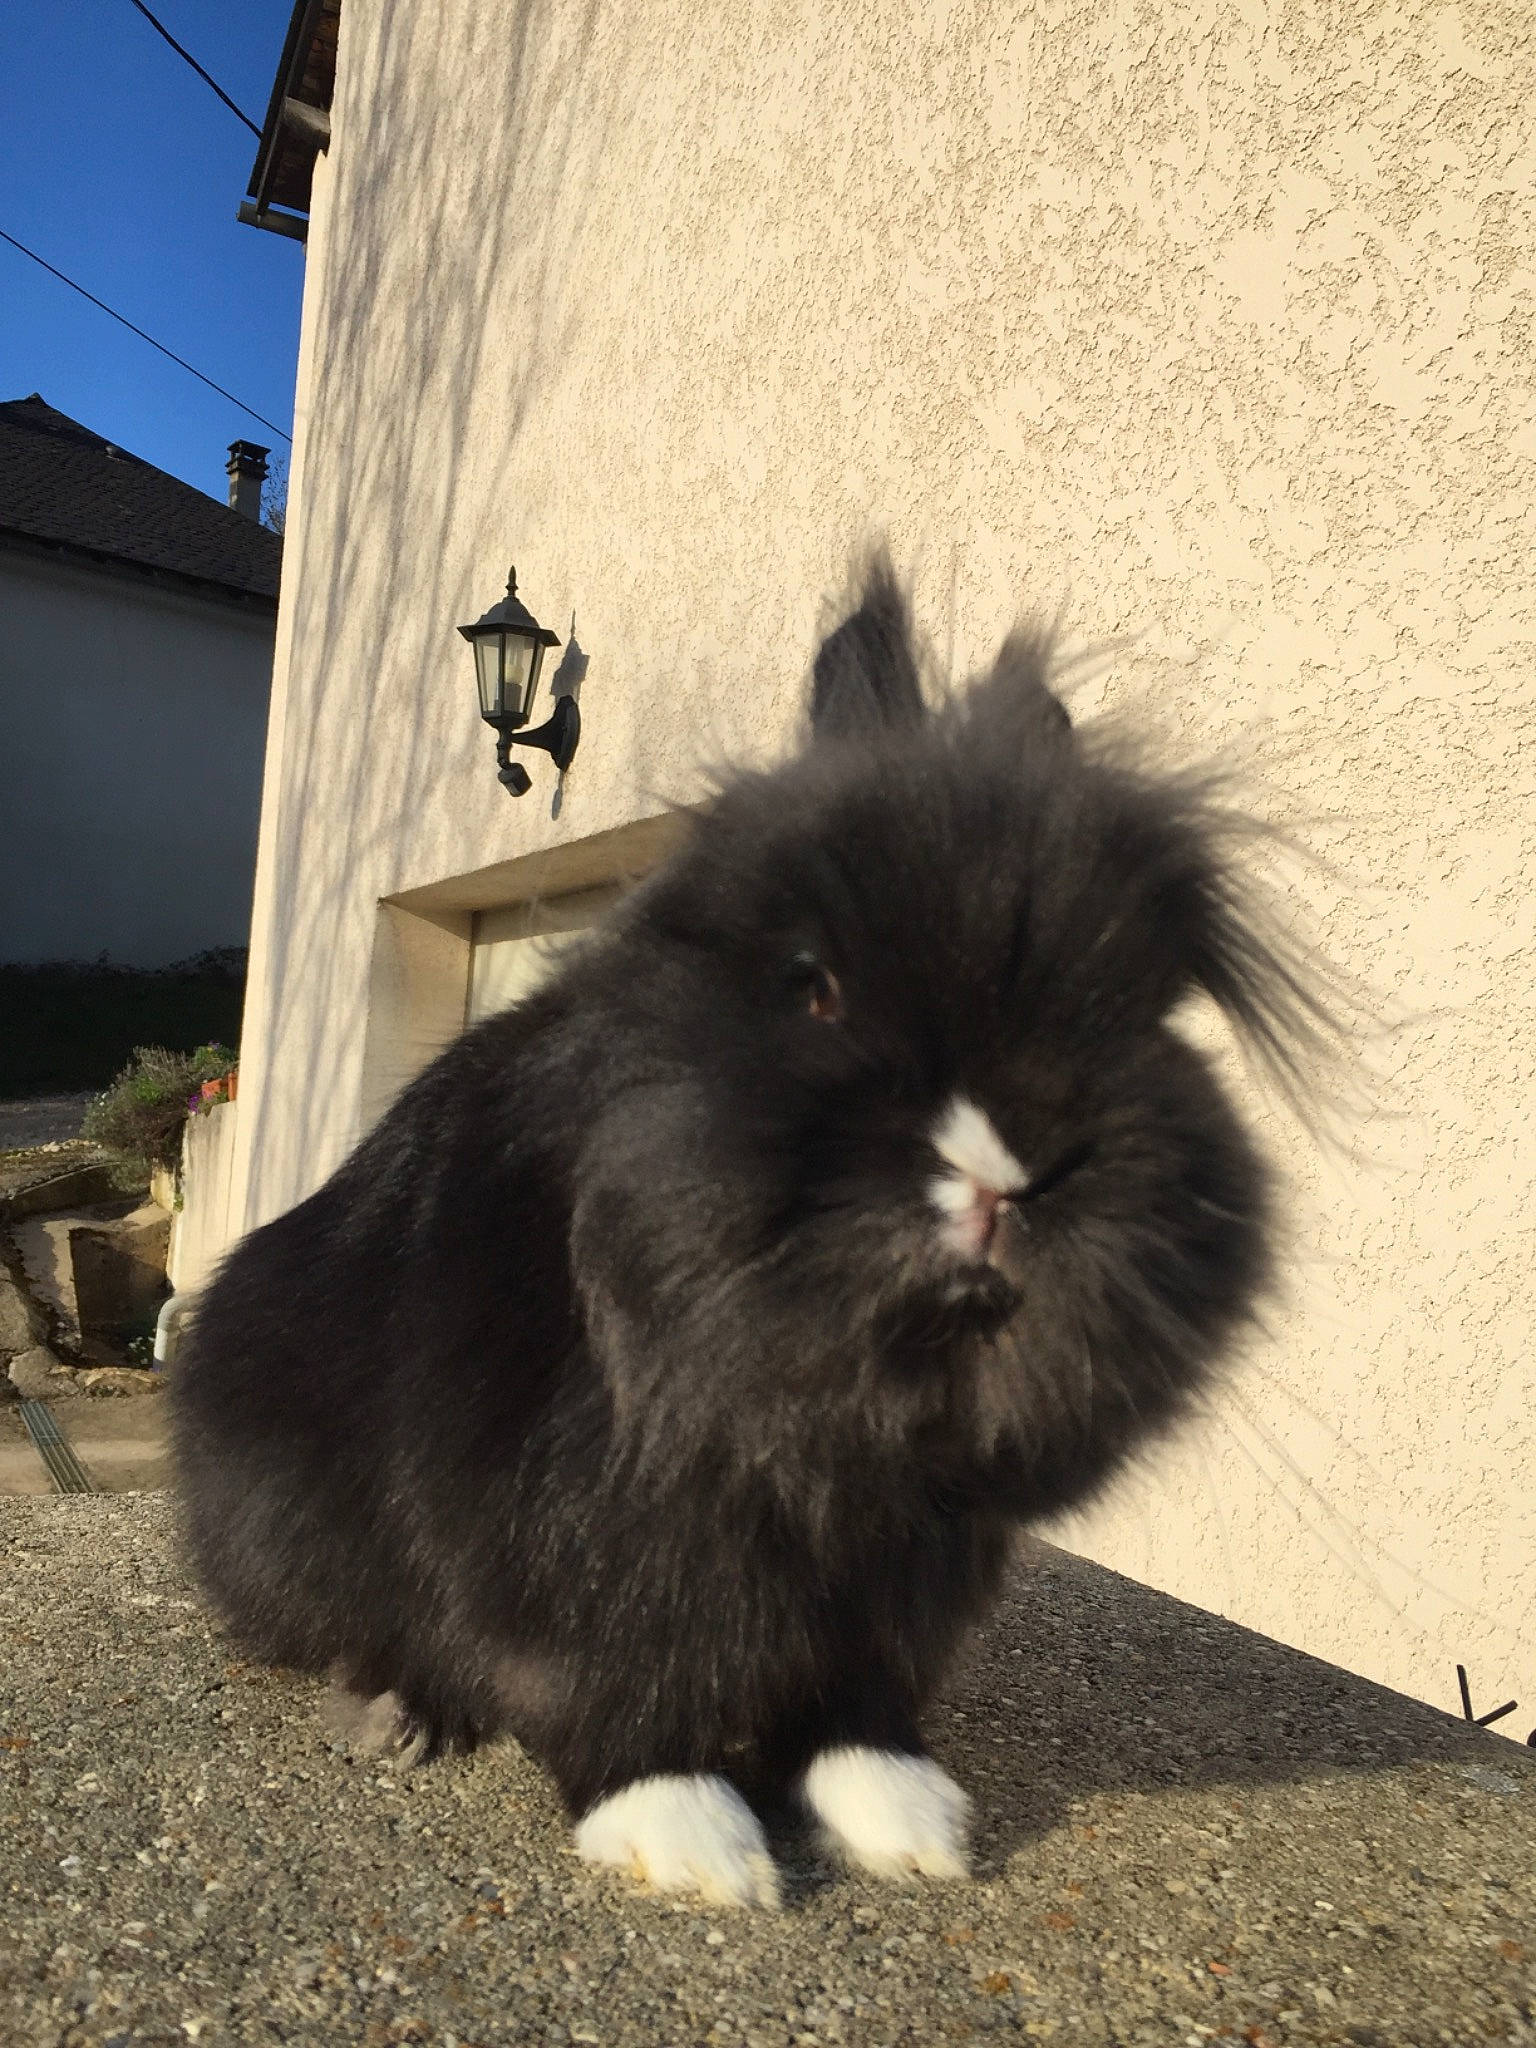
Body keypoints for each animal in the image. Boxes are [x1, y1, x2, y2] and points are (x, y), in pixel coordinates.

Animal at [172, 558, 1329, 1909]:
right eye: (810, 986)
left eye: (1139, 1007)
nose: (1004, 1172)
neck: (839, 1404)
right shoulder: (558, 1523)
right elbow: (598, 1672)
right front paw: (692, 1837)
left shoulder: (896, 1575)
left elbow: (858, 1697)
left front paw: (911, 1819)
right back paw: (392, 1717)